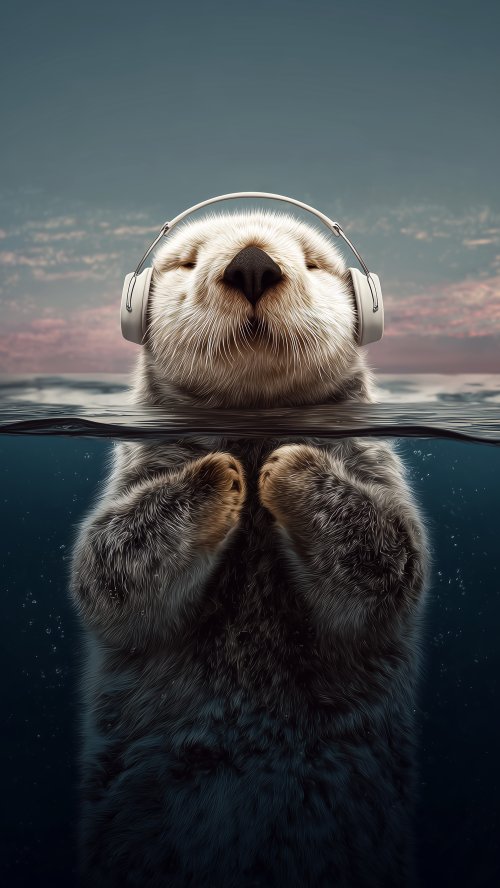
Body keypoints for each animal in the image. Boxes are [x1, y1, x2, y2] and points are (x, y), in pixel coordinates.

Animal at [70, 209, 428, 887]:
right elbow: (106, 571)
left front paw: (289, 467)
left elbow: (390, 564)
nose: (253, 265)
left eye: (313, 260)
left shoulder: (370, 462)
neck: (256, 421)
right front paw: (223, 474)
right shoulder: (140, 467)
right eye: (185, 260)